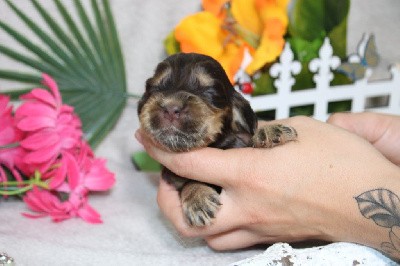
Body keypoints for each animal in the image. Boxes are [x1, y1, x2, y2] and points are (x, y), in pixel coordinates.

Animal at [138, 53, 296, 227]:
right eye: (155, 88)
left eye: (209, 90)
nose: (170, 108)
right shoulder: (174, 176)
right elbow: (188, 181)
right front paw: (198, 199)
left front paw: (269, 131)